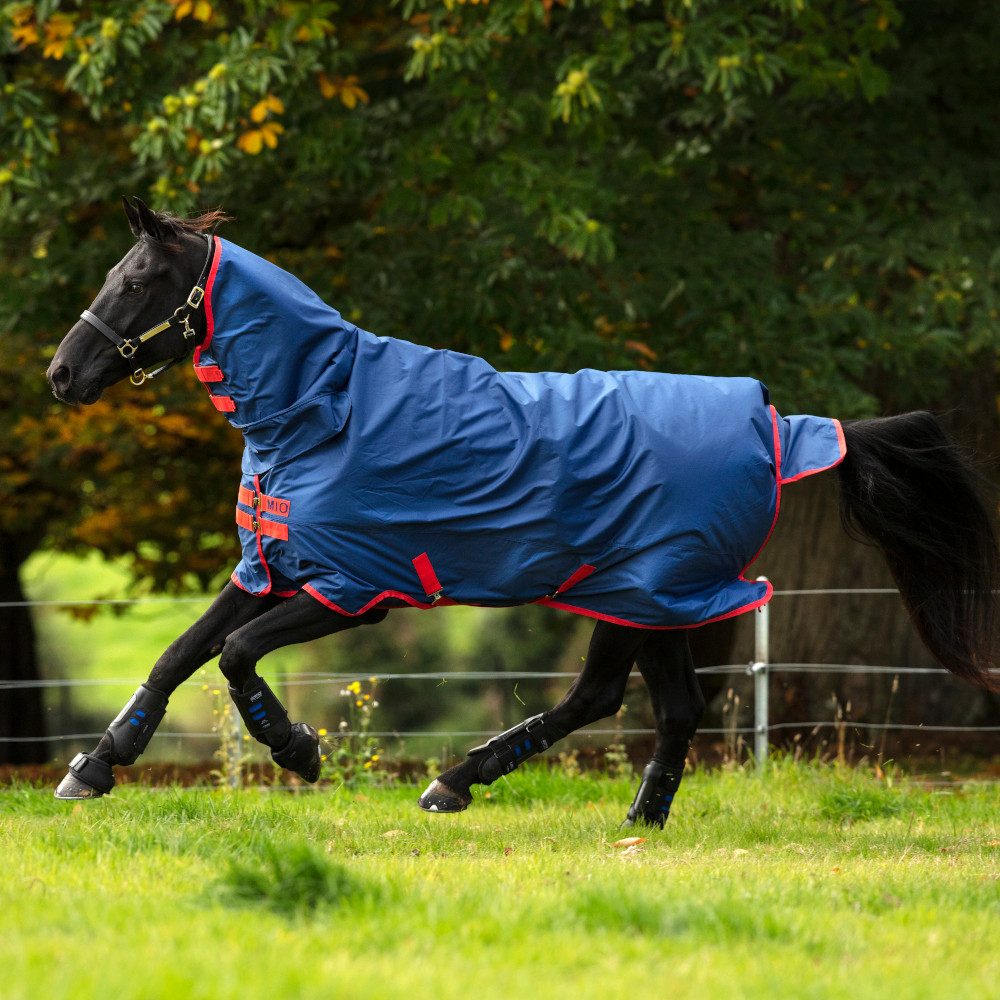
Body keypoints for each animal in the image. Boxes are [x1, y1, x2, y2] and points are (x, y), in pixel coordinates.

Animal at [45, 198, 1000, 824]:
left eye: (137, 279)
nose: (61, 375)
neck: (323, 409)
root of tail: (779, 424)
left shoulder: (354, 588)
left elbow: (237, 656)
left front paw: (299, 750)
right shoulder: (270, 569)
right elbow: (180, 654)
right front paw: (95, 766)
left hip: (647, 591)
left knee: (618, 699)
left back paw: (485, 787)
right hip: (646, 598)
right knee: (648, 704)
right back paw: (602, 812)